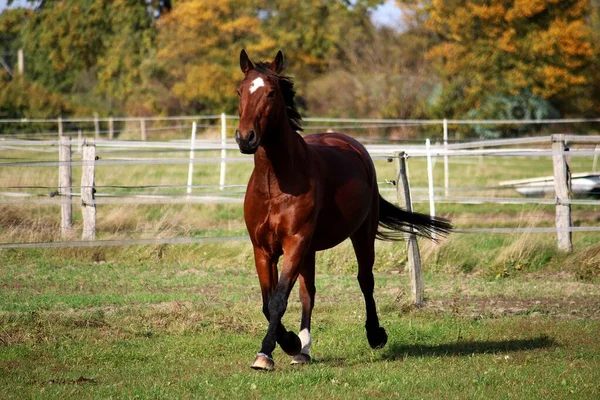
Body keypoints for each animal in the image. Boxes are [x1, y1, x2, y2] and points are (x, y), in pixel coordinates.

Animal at [234, 50, 450, 372]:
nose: (245, 138)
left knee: (365, 281)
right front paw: (288, 344)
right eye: (240, 91)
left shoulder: (295, 242)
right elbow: (268, 301)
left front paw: (269, 352)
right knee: (308, 293)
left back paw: (375, 335)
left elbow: (278, 300)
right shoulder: (263, 249)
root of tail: (353, 145)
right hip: (309, 250)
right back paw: (303, 351)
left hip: (361, 234)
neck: (275, 184)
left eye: (271, 92)